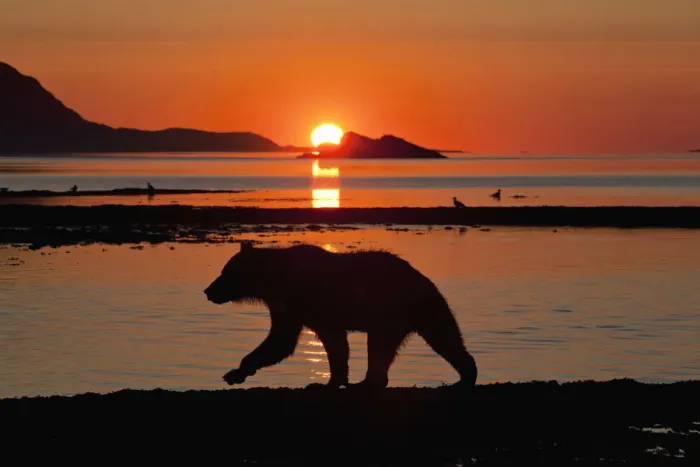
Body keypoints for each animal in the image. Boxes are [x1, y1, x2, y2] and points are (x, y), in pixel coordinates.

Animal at [204, 241, 478, 390]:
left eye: (225, 272)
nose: (208, 290)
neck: (274, 281)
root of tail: (423, 278)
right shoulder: (292, 307)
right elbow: (328, 344)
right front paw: (330, 380)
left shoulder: (300, 300)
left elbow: (282, 341)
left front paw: (235, 373)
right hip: (411, 312)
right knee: (439, 337)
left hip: (396, 308)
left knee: (401, 342)